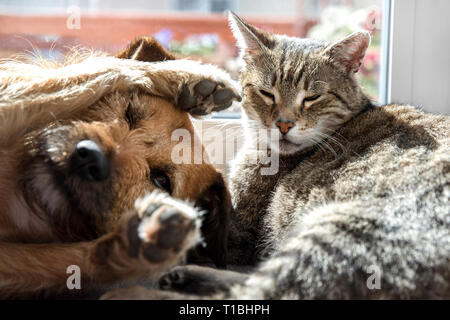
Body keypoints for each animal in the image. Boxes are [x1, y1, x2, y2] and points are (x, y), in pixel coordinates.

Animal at [0, 37, 241, 298]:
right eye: (130, 113)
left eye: (161, 180)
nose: (89, 157)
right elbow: (100, 69)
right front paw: (184, 76)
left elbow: (59, 258)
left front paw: (136, 243)